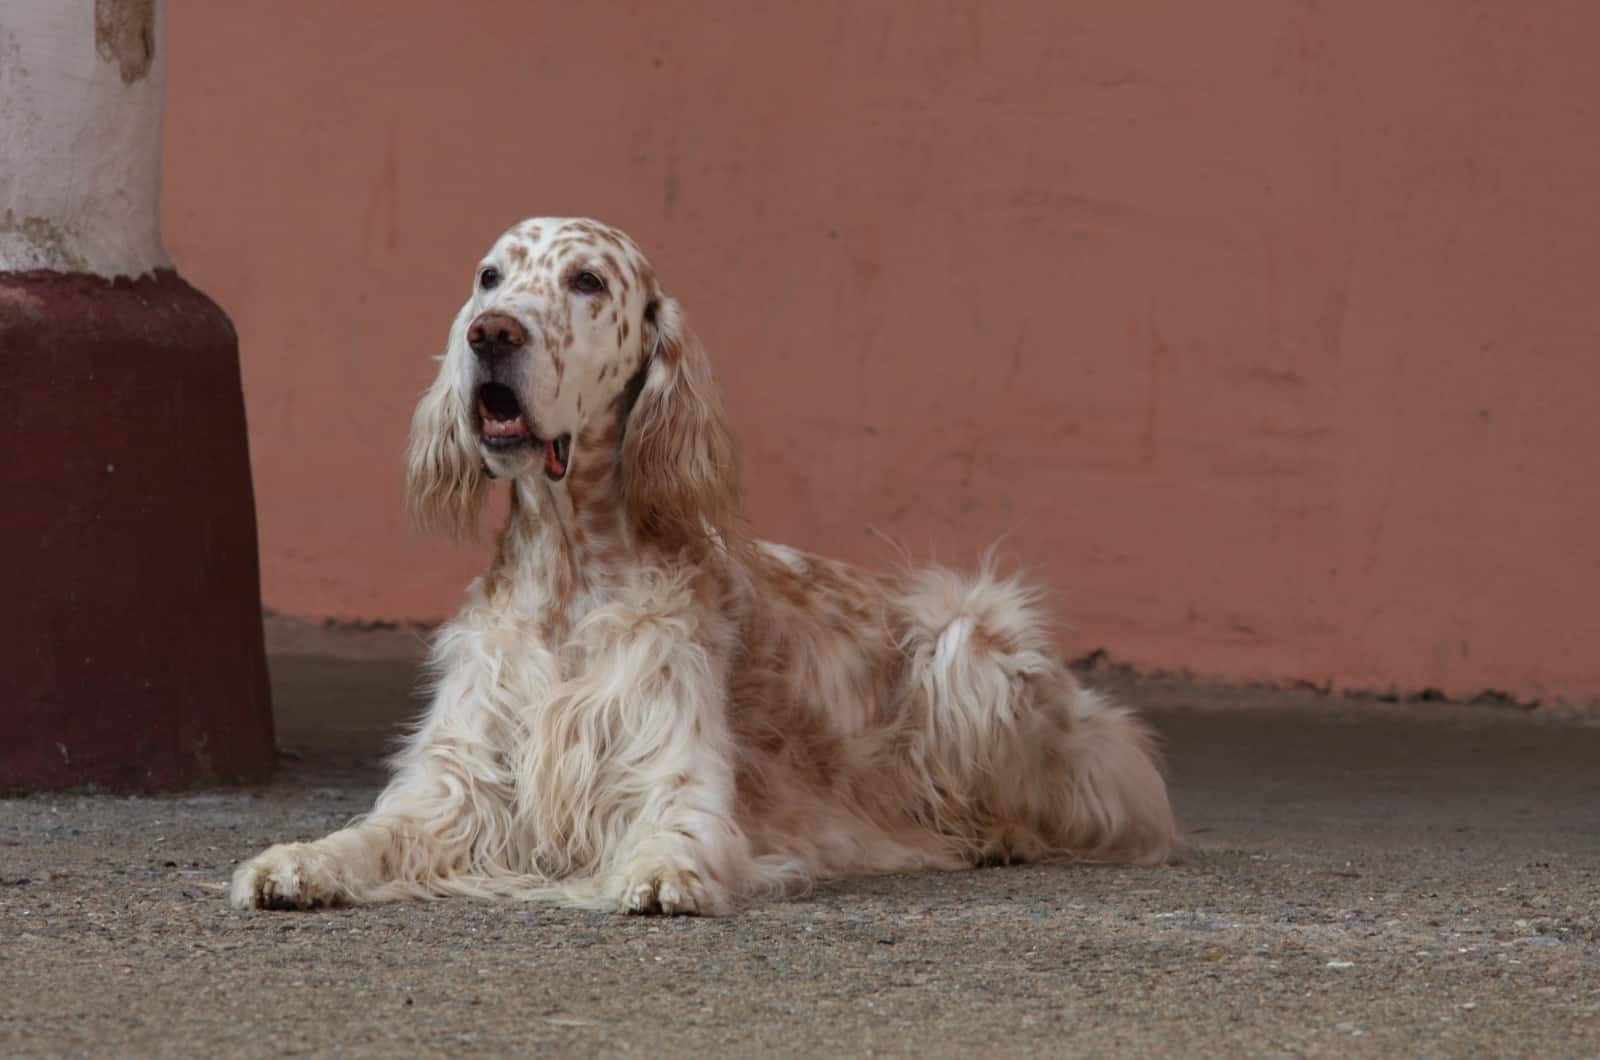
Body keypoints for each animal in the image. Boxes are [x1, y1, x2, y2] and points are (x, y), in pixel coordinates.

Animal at [228, 219, 1177, 915]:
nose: (488, 334)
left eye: (586, 282)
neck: (571, 572)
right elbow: (370, 834)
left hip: (968, 644)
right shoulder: (456, 786)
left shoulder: (675, 782)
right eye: (490, 277)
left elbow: (674, 836)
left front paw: (659, 875)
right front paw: (296, 862)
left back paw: (998, 832)